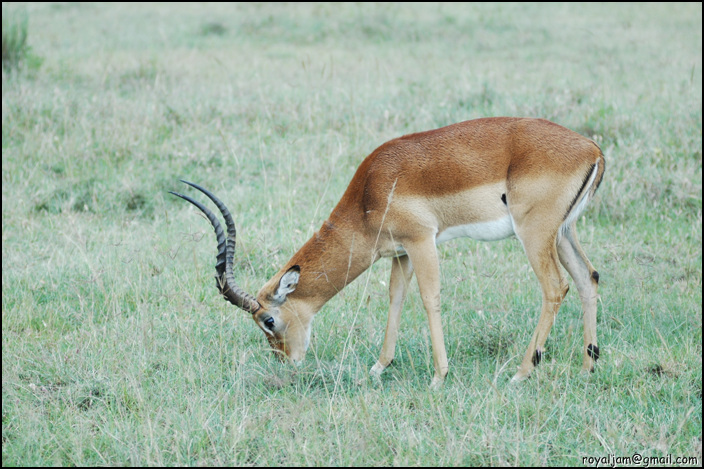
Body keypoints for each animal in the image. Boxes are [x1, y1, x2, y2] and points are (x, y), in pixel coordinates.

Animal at [172, 118, 604, 388]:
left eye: (269, 321)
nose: (286, 362)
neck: (371, 190)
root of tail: (593, 149)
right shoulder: (400, 253)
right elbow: (395, 299)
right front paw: (378, 368)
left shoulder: (422, 241)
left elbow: (430, 299)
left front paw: (439, 376)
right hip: (563, 233)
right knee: (588, 278)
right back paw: (587, 368)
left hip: (534, 234)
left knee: (555, 287)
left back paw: (520, 373)